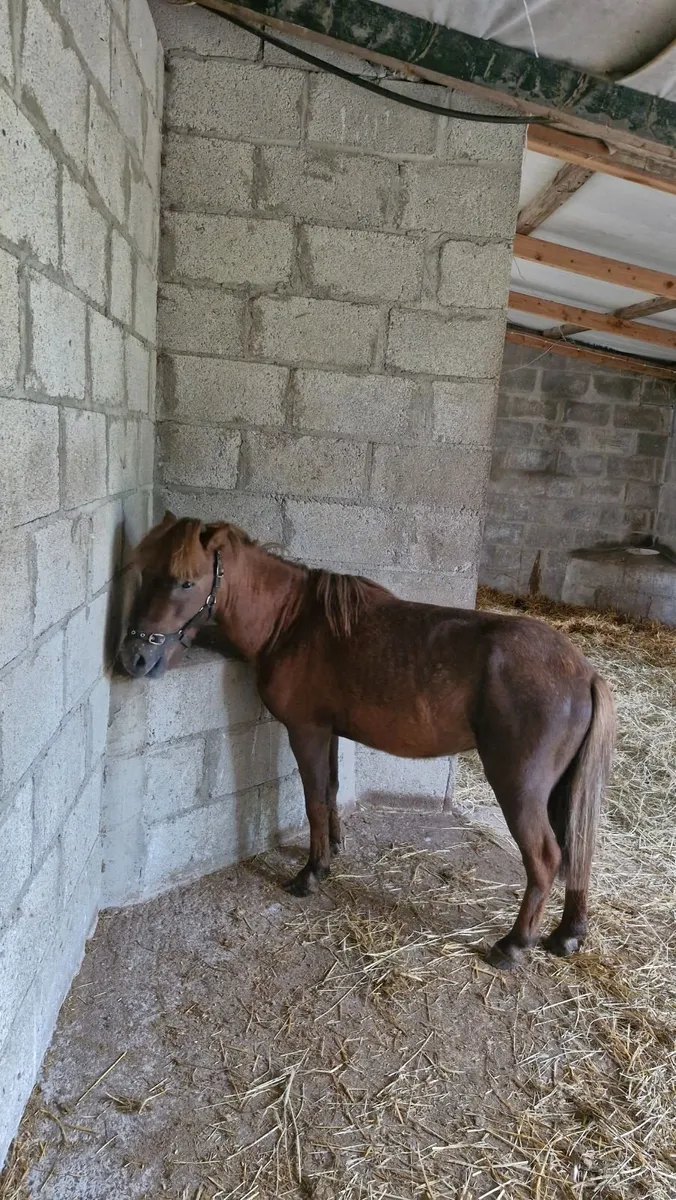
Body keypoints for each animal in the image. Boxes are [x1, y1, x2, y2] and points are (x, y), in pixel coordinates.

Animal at [119, 513, 615, 971]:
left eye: (187, 580)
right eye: (146, 571)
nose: (135, 656)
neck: (292, 622)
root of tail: (584, 673)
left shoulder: (306, 731)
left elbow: (315, 800)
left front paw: (312, 873)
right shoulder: (330, 733)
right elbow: (332, 792)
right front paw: (332, 849)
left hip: (519, 787)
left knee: (547, 857)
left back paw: (513, 945)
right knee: (577, 847)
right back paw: (568, 935)